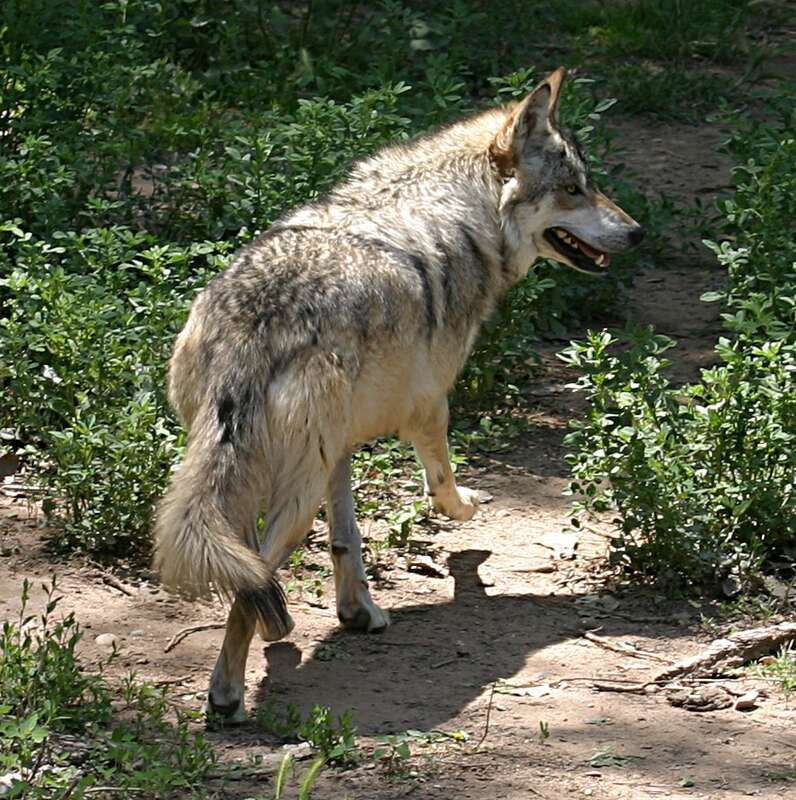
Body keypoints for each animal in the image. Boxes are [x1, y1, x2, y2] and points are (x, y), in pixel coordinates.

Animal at [154, 67, 643, 721]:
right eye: (572, 190)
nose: (637, 232)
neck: (463, 212)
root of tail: (258, 322)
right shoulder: (431, 406)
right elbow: (444, 493)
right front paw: (469, 519)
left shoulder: (339, 450)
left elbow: (347, 539)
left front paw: (357, 612)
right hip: (293, 491)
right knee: (249, 580)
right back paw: (227, 693)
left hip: (256, 467)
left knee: (247, 565)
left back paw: (275, 630)